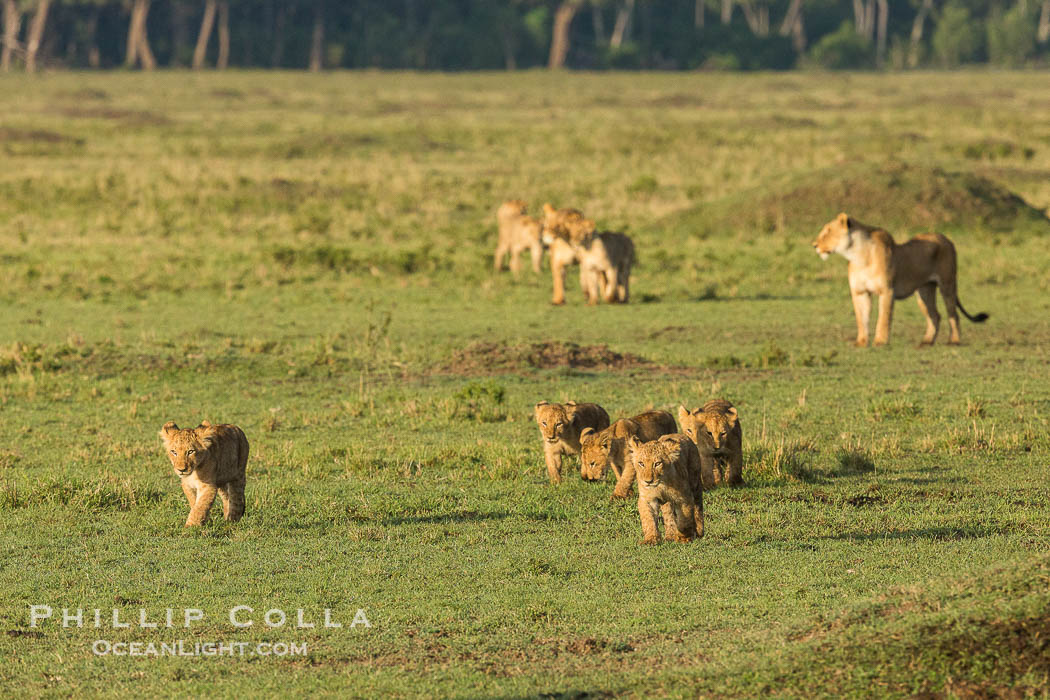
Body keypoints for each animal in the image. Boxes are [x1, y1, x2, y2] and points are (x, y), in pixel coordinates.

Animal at [813, 213, 988, 346]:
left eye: (828, 231)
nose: (814, 245)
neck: (858, 256)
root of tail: (946, 238)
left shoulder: (887, 291)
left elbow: (883, 318)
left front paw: (880, 342)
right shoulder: (860, 292)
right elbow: (861, 319)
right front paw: (861, 343)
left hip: (947, 284)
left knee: (953, 314)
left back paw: (954, 341)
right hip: (924, 291)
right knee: (935, 315)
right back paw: (926, 342)